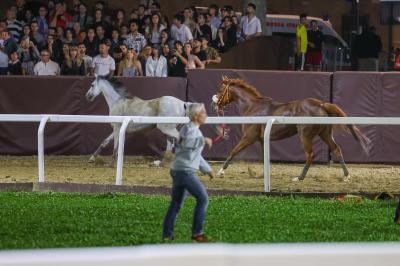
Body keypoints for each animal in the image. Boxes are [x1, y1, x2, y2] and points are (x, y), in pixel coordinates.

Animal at [212, 76, 368, 182]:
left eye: (220, 90)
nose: (214, 103)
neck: (252, 106)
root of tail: (321, 104)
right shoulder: (262, 139)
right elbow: (264, 156)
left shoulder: (249, 137)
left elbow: (233, 151)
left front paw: (220, 171)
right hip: (325, 134)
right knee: (336, 149)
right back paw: (346, 176)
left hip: (305, 135)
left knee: (310, 155)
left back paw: (300, 178)